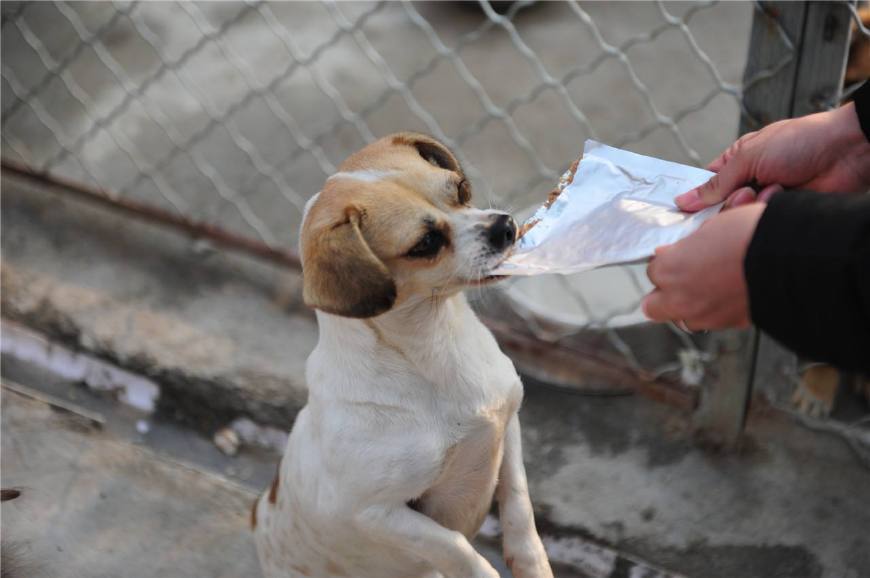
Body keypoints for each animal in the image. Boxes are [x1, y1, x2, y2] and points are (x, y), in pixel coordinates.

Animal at [252, 133, 552, 576]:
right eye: (425, 243)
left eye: (460, 189)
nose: (505, 226)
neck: (437, 347)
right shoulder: (378, 513)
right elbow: (456, 547)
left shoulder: (507, 426)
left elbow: (519, 504)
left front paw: (530, 561)